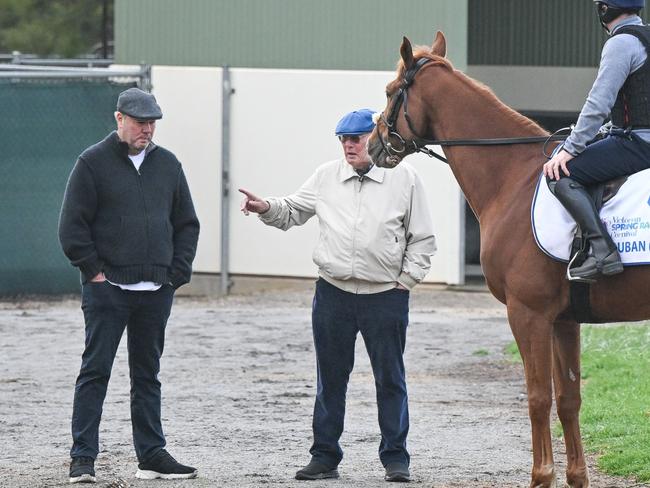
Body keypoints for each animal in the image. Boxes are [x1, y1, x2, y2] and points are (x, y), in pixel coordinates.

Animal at [368, 31, 648, 488]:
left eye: (392, 91)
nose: (374, 145)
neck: (513, 178)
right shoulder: (564, 320)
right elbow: (568, 397)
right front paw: (575, 476)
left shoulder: (528, 313)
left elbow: (537, 396)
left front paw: (541, 476)